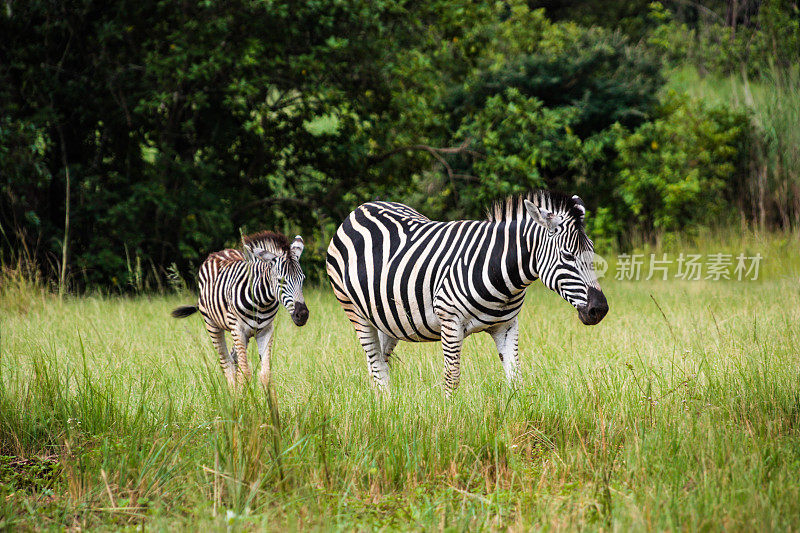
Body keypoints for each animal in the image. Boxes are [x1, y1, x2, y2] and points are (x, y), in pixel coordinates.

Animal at [170, 231, 308, 384]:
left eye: (302, 279)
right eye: (280, 280)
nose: (302, 314)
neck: (262, 303)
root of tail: (221, 251)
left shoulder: (266, 330)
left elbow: (266, 374)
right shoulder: (238, 329)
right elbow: (245, 372)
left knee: (233, 359)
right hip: (213, 326)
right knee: (227, 363)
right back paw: (232, 391)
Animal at [324, 191, 608, 394]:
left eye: (592, 251)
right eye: (568, 256)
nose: (600, 310)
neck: (500, 271)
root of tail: (361, 208)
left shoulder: (507, 325)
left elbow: (515, 378)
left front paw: (520, 420)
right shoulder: (450, 322)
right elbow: (452, 378)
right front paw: (448, 422)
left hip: (387, 317)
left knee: (378, 364)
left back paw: (384, 409)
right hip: (354, 310)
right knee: (376, 363)